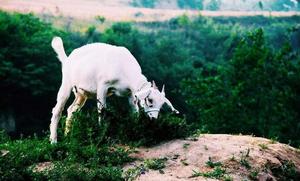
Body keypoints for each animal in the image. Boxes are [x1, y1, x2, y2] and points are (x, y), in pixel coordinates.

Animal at [49, 36, 178, 144]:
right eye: (150, 100)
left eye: (161, 104)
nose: (153, 119)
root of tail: (67, 59)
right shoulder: (103, 86)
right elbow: (102, 110)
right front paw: (101, 134)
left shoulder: (131, 94)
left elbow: (135, 111)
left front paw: (136, 130)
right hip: (66, 83)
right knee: (57, 110)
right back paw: (53, 141)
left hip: (82, 94)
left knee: (71, 110)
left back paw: (68, 138)